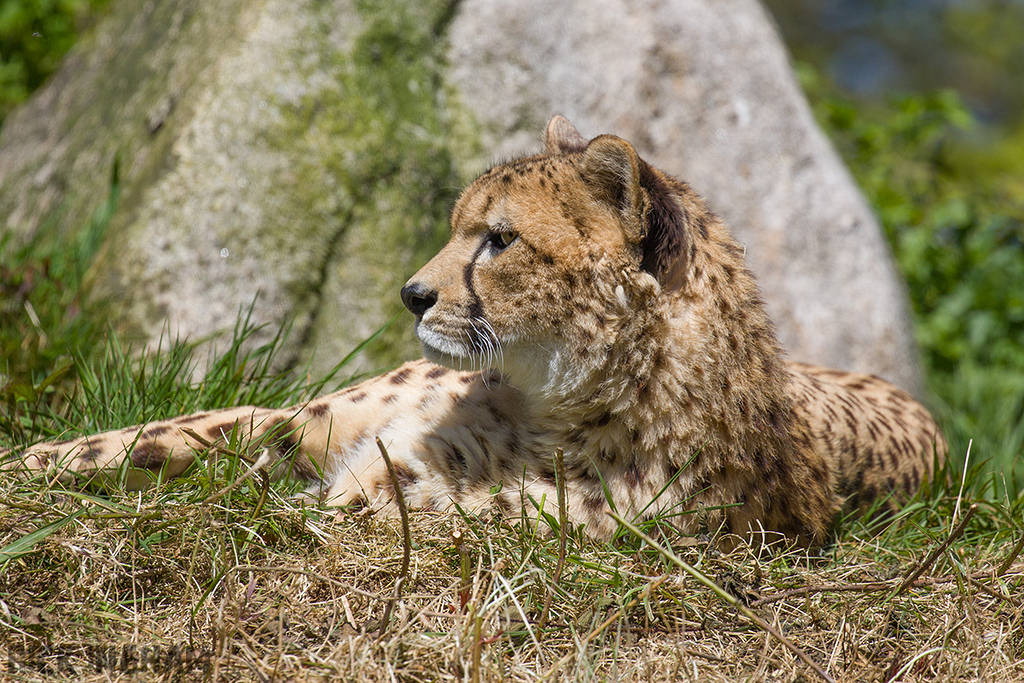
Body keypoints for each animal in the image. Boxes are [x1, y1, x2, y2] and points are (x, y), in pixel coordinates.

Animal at [0, 116, 946, 544]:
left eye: (499, 239)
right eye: (462, 224)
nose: (413, 293)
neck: (546, 396)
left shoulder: (406, 503)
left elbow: (324, 505)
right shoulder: (306, 424)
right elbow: (162, 433)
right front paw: (37, 463)